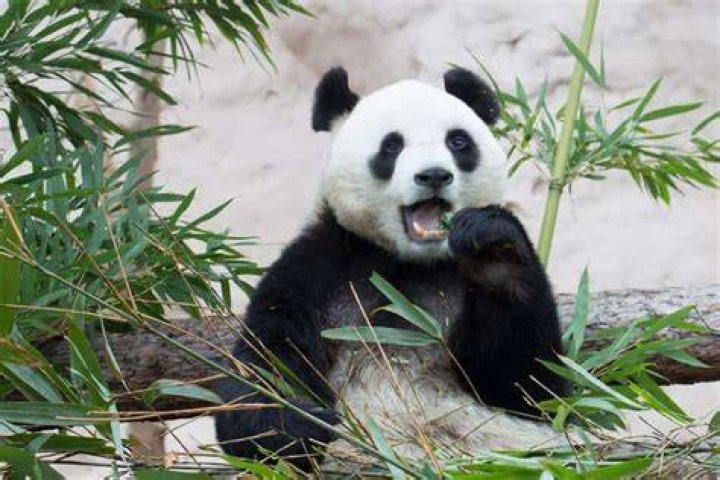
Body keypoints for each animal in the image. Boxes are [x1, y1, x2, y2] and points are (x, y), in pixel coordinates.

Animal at [215, 66, 569, 472]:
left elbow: (532, 387)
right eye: (391, 146)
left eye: (458, 142)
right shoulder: (316, 270)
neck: (408, 262)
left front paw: (492, 248)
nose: (434, 175)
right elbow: (261, 371)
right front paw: (303, 421)